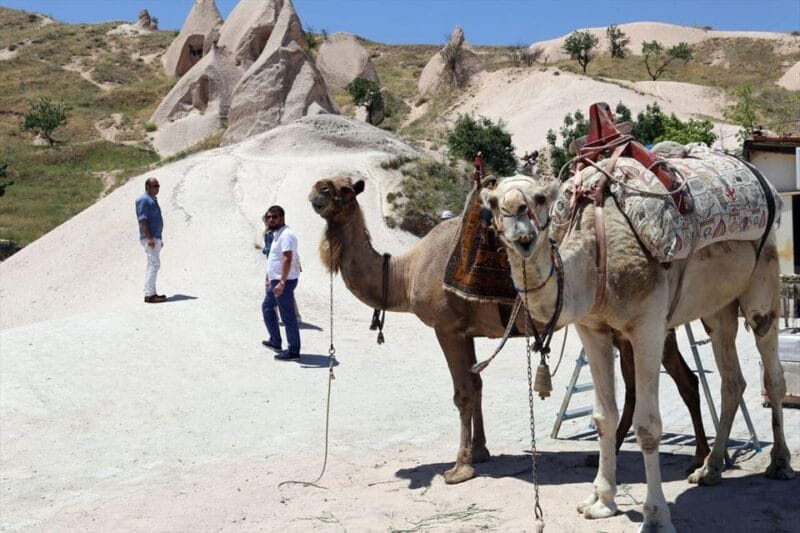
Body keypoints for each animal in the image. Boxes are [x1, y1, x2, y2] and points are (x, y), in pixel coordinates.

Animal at [308, 175, 709, 484]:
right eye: (328, 183)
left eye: (345, 189)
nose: (316, 192)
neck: (406, 274)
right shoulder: (466, 331)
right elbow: (476, 387)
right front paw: (480, 451)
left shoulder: (446, 328)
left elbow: (462, 393)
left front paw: (460, 467)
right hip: (625, 326)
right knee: (639, 387)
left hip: (649, 322)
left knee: (685, 381)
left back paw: (701, 461)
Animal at [482, 174, 794, 532]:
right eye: (493, 203)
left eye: (538, 198)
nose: (521, 231)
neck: (596, 263)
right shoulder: (592, 328)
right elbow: (603, 417)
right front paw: (601, 502)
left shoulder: (648, 325)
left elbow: (647, 425)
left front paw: (656, 516)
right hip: (718, 307)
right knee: (732, 379)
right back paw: (709, 469)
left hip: (763, 278)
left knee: (772, 370)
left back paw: (779, 464)